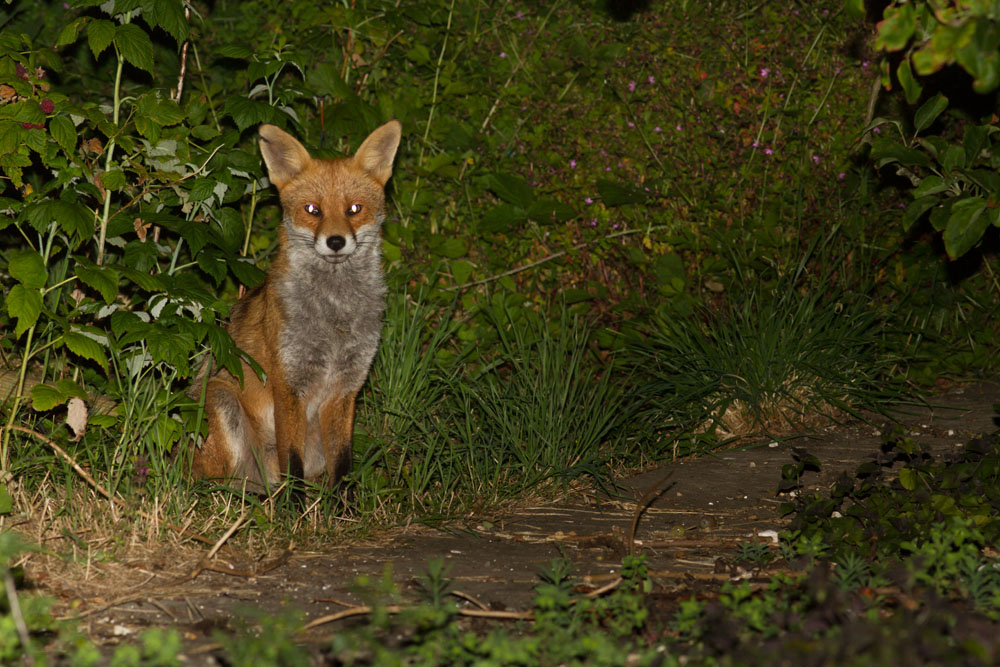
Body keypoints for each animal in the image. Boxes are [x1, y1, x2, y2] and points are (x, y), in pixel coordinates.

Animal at [191, 120, 402, 490]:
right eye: (313, 210)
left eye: (354, 209)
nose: (336, 241)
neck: (335, 319)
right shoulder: (287, 384)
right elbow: (293, 462)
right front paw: (294, 504)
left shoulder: (345, 388)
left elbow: (343, 464)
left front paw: (344, 504)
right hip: (221, 401)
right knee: (212, 483)